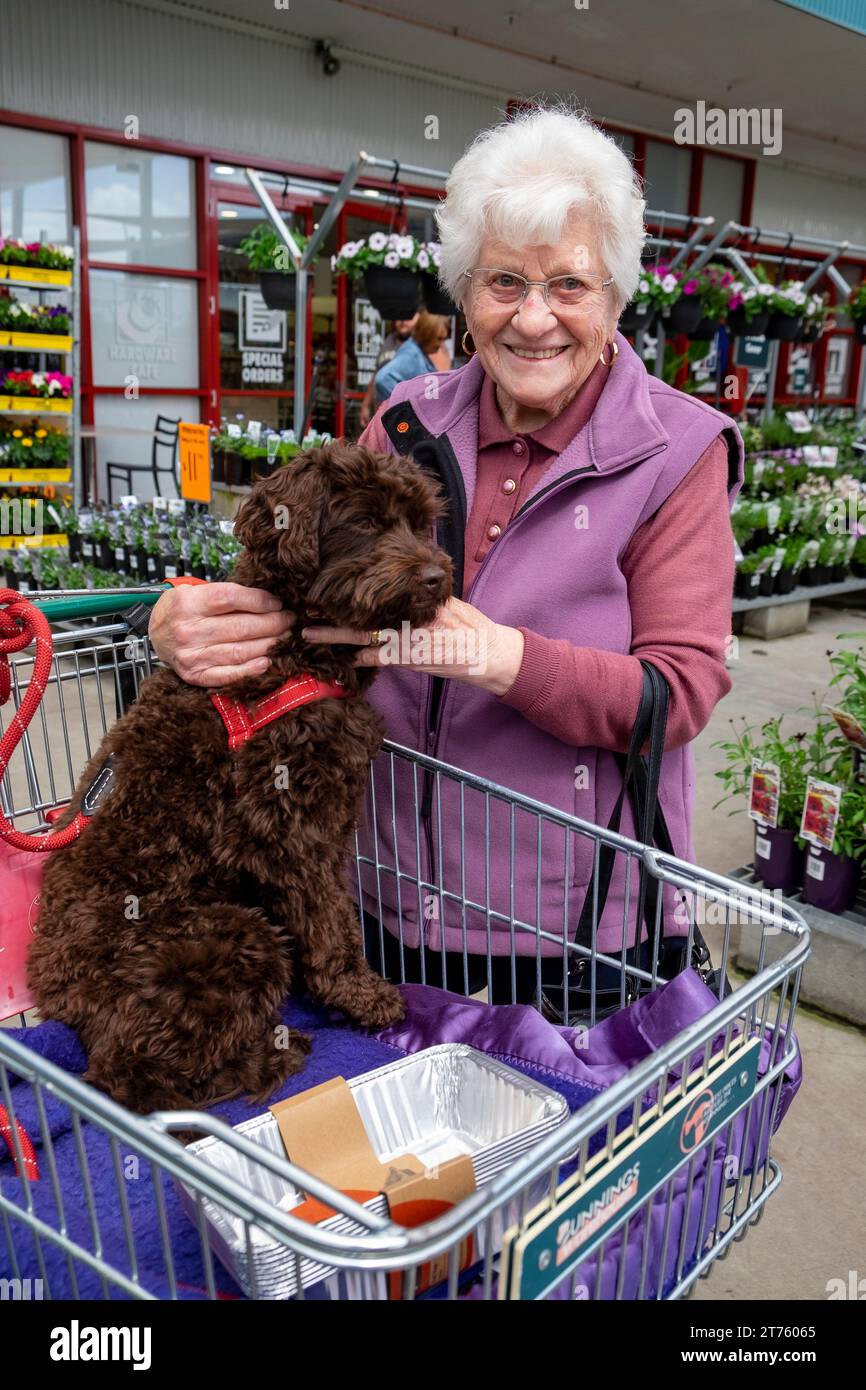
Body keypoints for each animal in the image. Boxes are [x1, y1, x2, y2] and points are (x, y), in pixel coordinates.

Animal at [26, 444, 450, 1117]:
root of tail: (57, 993)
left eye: (418, 521)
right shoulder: (284, 826)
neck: (294, 652)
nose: (437, 577)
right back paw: (267, 1056)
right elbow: (332, 919)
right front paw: (361, 994)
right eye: (365, 521)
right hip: (223, 935)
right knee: (129, 1078)